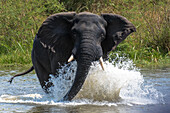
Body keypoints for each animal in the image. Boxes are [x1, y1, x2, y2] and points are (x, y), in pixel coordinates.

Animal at [8, 11, 136, 101]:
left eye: (103, 35)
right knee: (45, 80)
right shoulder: (60, 48)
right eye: (74, 33)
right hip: (35, 57)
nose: (62, 99)